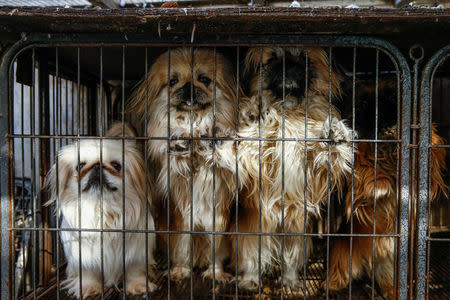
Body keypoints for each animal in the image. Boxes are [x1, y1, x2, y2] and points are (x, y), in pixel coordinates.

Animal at [44, 122, 156, 298]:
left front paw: (138, 286)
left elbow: (134, 270)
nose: (97, 166)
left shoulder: (137, 252)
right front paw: (88, 288)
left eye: (116, 165)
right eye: (80, 166)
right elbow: (88, 272)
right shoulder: (83, 256)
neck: (102, 208)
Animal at [126, 46, 239, 282]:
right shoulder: (180, 218)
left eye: (204, 79)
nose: (188, 86)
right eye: (172, 81)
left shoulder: (218, 218)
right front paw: (181, 143)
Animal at [232, 47, 356, 290]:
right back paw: (251, 280)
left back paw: (290, 281)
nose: (289, 65)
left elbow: (326, 154)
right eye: (272, 59)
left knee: (290, 258)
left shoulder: (315, 170)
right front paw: (254, 113)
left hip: (295, 229)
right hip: (253, 228)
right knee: (252, 257)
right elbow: (256, 140)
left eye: (304, 58)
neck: (289, 109)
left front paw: (335, 134)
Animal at [326, 78, 446, 298]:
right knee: (339, 274)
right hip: (343, 251)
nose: (378, 113)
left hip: (390, 263)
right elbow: (365, 168)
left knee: (388, 281)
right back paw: (335, 287)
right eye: (362, 104)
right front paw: (381, 185)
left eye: (391, 99)